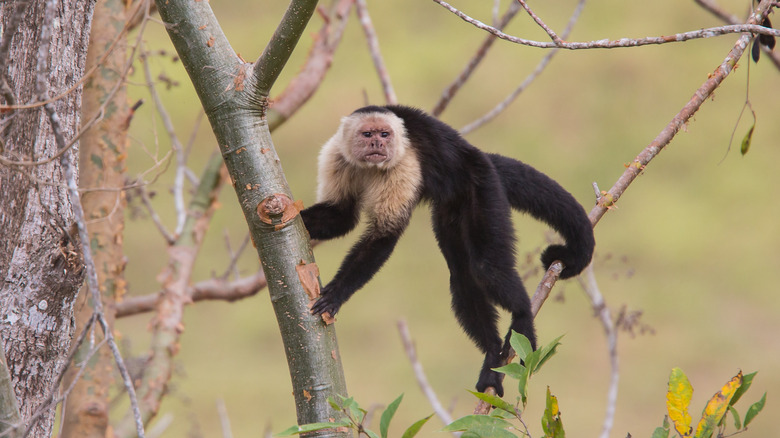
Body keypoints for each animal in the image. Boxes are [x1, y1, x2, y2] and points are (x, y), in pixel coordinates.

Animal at [302, 104, 596, 396]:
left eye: (385, 134)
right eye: (367, 134)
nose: (377, 143)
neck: (370, 167)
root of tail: (479, 155)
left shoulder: (403, 164)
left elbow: (385, 235)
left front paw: (337, 293)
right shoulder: (336, 156)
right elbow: (341, 216)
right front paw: (292, 217)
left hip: (483, 188)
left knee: (487, 268)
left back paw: (523, 316)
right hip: (450, 206)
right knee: (463, 276)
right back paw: (492, 356)